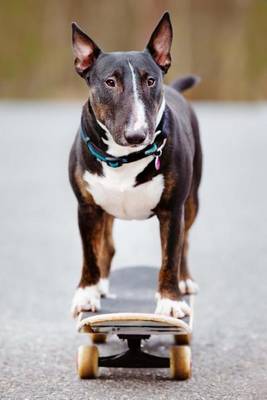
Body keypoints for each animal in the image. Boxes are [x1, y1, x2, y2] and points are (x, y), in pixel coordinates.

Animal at [69, 12, 203, 318]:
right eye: (110, 82)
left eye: (150, 80)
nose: (137, 135)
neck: (123, 158)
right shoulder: (87, 207)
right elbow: (89, 253)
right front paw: (87, 294)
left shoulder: (172, 210)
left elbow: (170, 256)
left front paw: (170, 301)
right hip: (104, 211)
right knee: (106, 246)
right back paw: (102, 285)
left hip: (192, 200)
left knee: (186, 242)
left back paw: (185, 280)